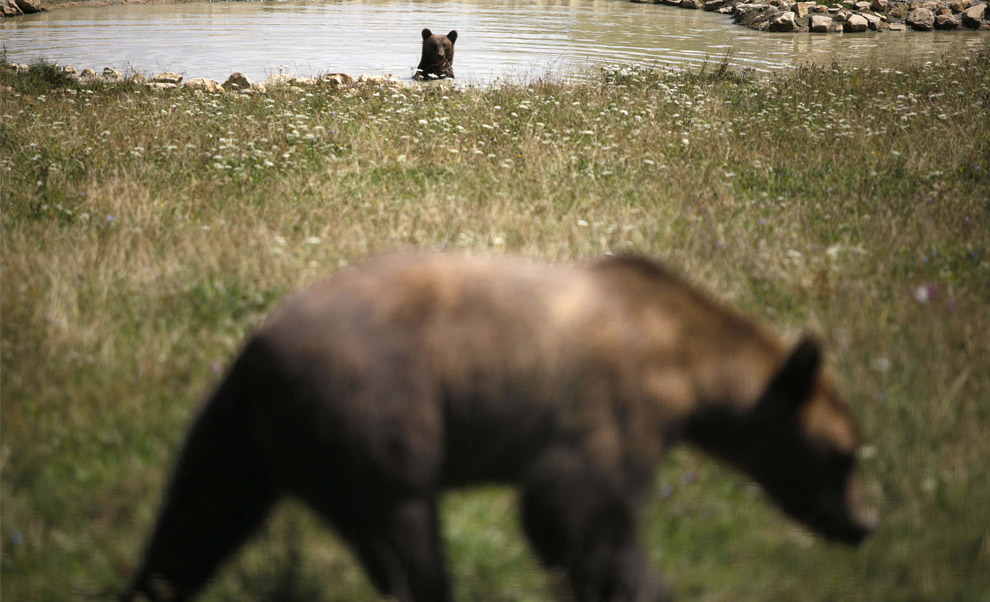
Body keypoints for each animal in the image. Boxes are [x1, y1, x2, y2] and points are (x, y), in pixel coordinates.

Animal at [124, 252, 876, 600]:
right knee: (404, 535)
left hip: (234, 437)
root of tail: (255, 353)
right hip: (374, 411)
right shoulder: (610, 401)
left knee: (195, 521)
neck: (690, 364)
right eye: (844, 456)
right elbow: (575, 507)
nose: (863, 524)